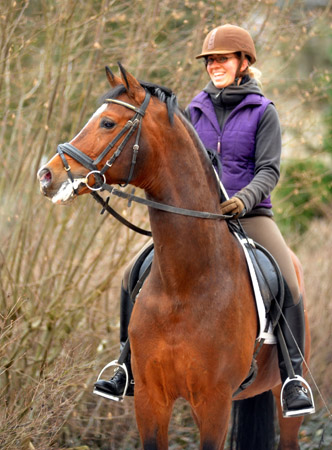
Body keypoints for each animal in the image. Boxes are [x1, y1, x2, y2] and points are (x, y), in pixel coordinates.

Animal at [37, 64, 312, 450]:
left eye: (107, 122)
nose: (47, 175)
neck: (185, 283)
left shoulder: (214, 404)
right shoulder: (152, 399)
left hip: (281, 400)